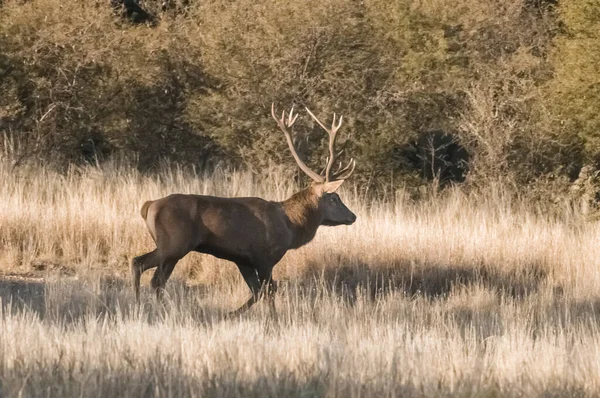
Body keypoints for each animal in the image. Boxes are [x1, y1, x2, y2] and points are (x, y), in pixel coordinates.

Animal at [131, 102, 356, 314]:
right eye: (334, 198)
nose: (353, 216)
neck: (290, 227)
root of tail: (148, 206)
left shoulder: (244, 260)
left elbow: (256, 292)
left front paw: (231, 314)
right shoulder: (265, 256)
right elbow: (269, 290)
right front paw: (272, 319)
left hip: (170, 247)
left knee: (146, 269)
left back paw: (146, 305)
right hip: (174, 243)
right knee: (149, 272)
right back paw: (153, 306)